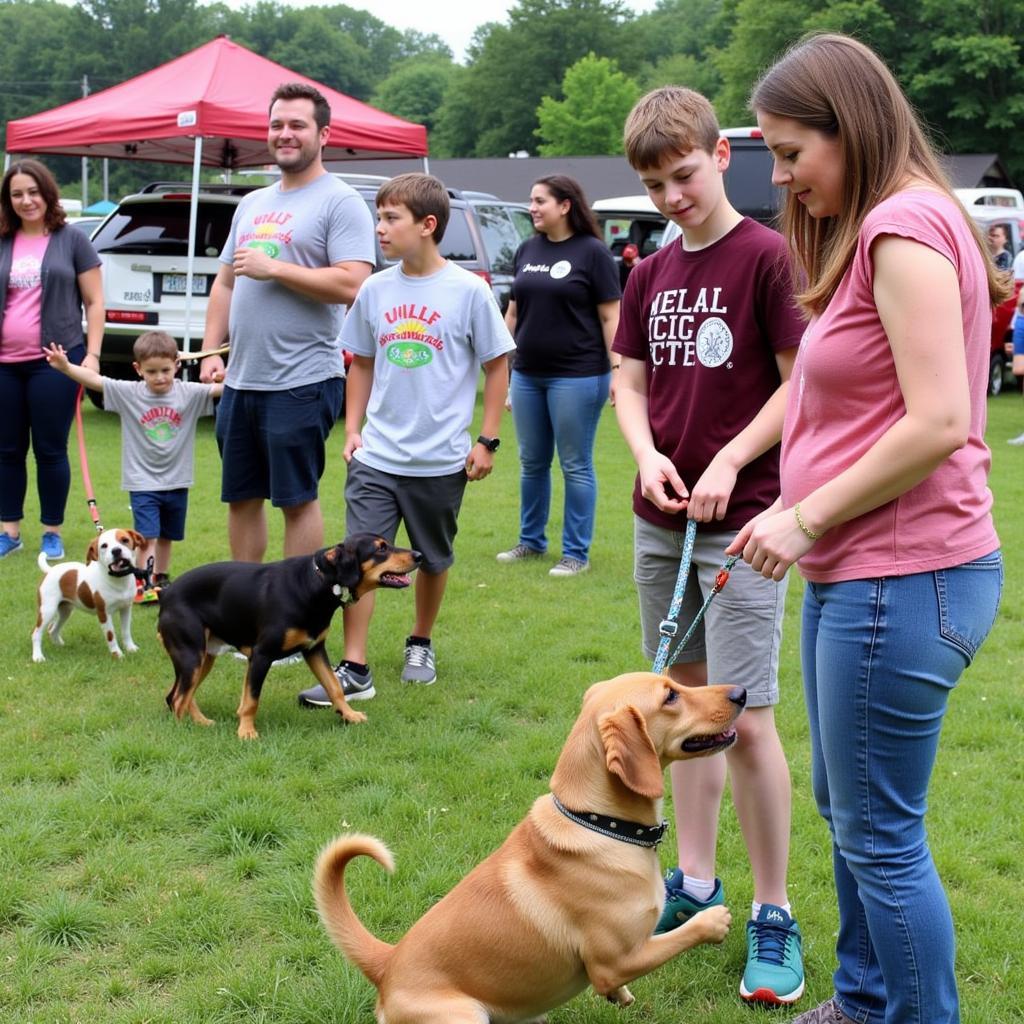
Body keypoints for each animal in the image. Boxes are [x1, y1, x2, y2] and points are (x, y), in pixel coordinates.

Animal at [32, 528, 145, 663]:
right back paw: (38, 657)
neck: (118, 581)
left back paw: (60, 645)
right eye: (104, 545)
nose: (116, 551)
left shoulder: (126, 608)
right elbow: (111, 636)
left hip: (65, 610)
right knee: (36, 633)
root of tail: (50, 570)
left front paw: (130, 648)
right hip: (47, 611)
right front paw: (117, 654)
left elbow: (126, 631)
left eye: (125, 540)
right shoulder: (103, 614)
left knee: (52, 629)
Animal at [156, 532, 419, 741]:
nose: (419, 555)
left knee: (176, 696)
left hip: (203, 658)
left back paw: (200, 723)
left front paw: (349, 715)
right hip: (192, 656)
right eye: (381, 548)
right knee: (177, 699)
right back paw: (183, 734)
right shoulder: (261, 656)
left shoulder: (314, 649)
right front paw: (246, 732)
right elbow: (251, 700)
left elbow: (334, 686)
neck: (316, 582)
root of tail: (166, 594)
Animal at [311, 671, 745, 1024]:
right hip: (465, 1016)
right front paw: (712, 922)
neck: (597, 823)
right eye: (670, 696)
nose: (741, 692)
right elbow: (679, 936)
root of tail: (387, 964)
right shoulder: (615, 961)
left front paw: (620, 997)